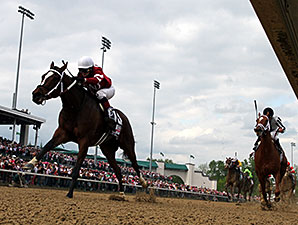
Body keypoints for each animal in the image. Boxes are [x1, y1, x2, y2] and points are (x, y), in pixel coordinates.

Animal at [23, 61, 147, 197]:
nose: (36, 95)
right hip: (107, 149)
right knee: (118, 170)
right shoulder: (62, 133)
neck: (75, 107)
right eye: (43, 76)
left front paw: (70, 193)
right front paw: (29, 164)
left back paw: (144, 182)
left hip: (127, 143)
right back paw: (121, 193)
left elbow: (76, 169)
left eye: (55, 78)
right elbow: (46, 147)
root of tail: (124, 118)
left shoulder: (84, 141)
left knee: (134, 163)